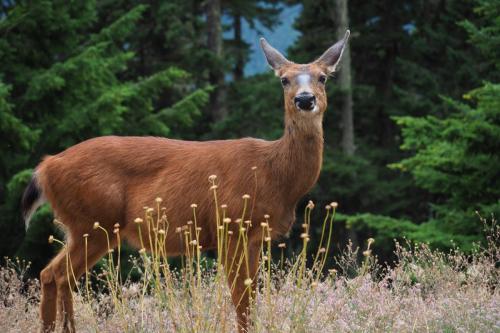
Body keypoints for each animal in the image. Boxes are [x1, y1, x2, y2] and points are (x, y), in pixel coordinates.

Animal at [21, 31, 350, 332]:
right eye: (284, 79)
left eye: (322, 77)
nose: (304, 99)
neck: (274, 174)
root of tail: (46, 167)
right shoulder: (231, 225)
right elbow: (241, 300)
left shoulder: (255, 235)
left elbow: (250, 295)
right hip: (92, 220)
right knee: (54, 275)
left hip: (84, 226)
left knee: (57, 276)